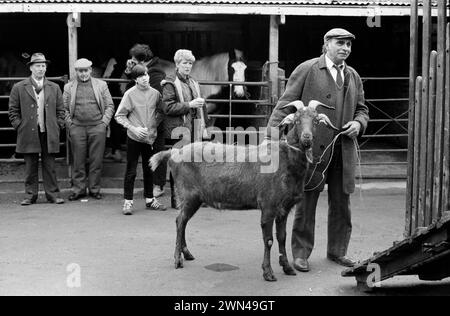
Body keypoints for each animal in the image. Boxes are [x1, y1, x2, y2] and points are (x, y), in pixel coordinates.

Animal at [149, 99, 336, 282]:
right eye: (296, 120)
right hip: (188, 195)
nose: (307, 138)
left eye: (316, 121)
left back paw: (186, 254)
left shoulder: (284, 208)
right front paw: (268, 273)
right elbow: (269, 240)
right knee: (180, 221)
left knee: (182, 221)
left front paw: (287, 267)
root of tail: (173, 152)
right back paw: (177, 259)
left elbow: (282, 237)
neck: (285, 162)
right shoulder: (268, 205)